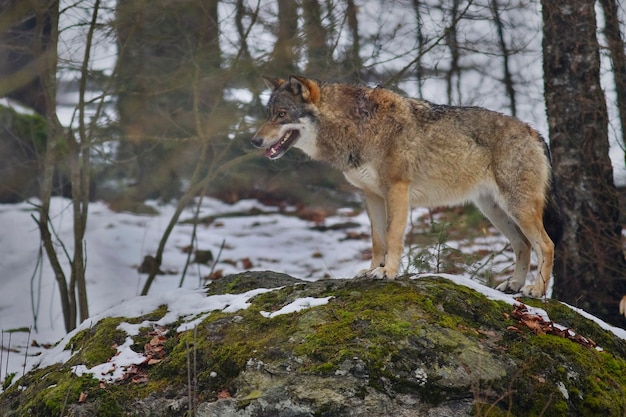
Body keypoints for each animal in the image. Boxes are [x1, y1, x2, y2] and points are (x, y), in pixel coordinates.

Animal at [251, 75, 564, 296]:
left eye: (281, 114)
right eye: (269, 113)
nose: (254, 141)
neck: (358, 127)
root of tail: (535, 132)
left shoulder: (397, 191)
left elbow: (392, 237)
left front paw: (387, 272)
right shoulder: (371, 196)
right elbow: (377, 239)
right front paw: (371, 271)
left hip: (517, 209)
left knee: (545, 245)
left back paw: (536, 290)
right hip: (494, 211)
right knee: (523, 245)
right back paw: (514, 285)